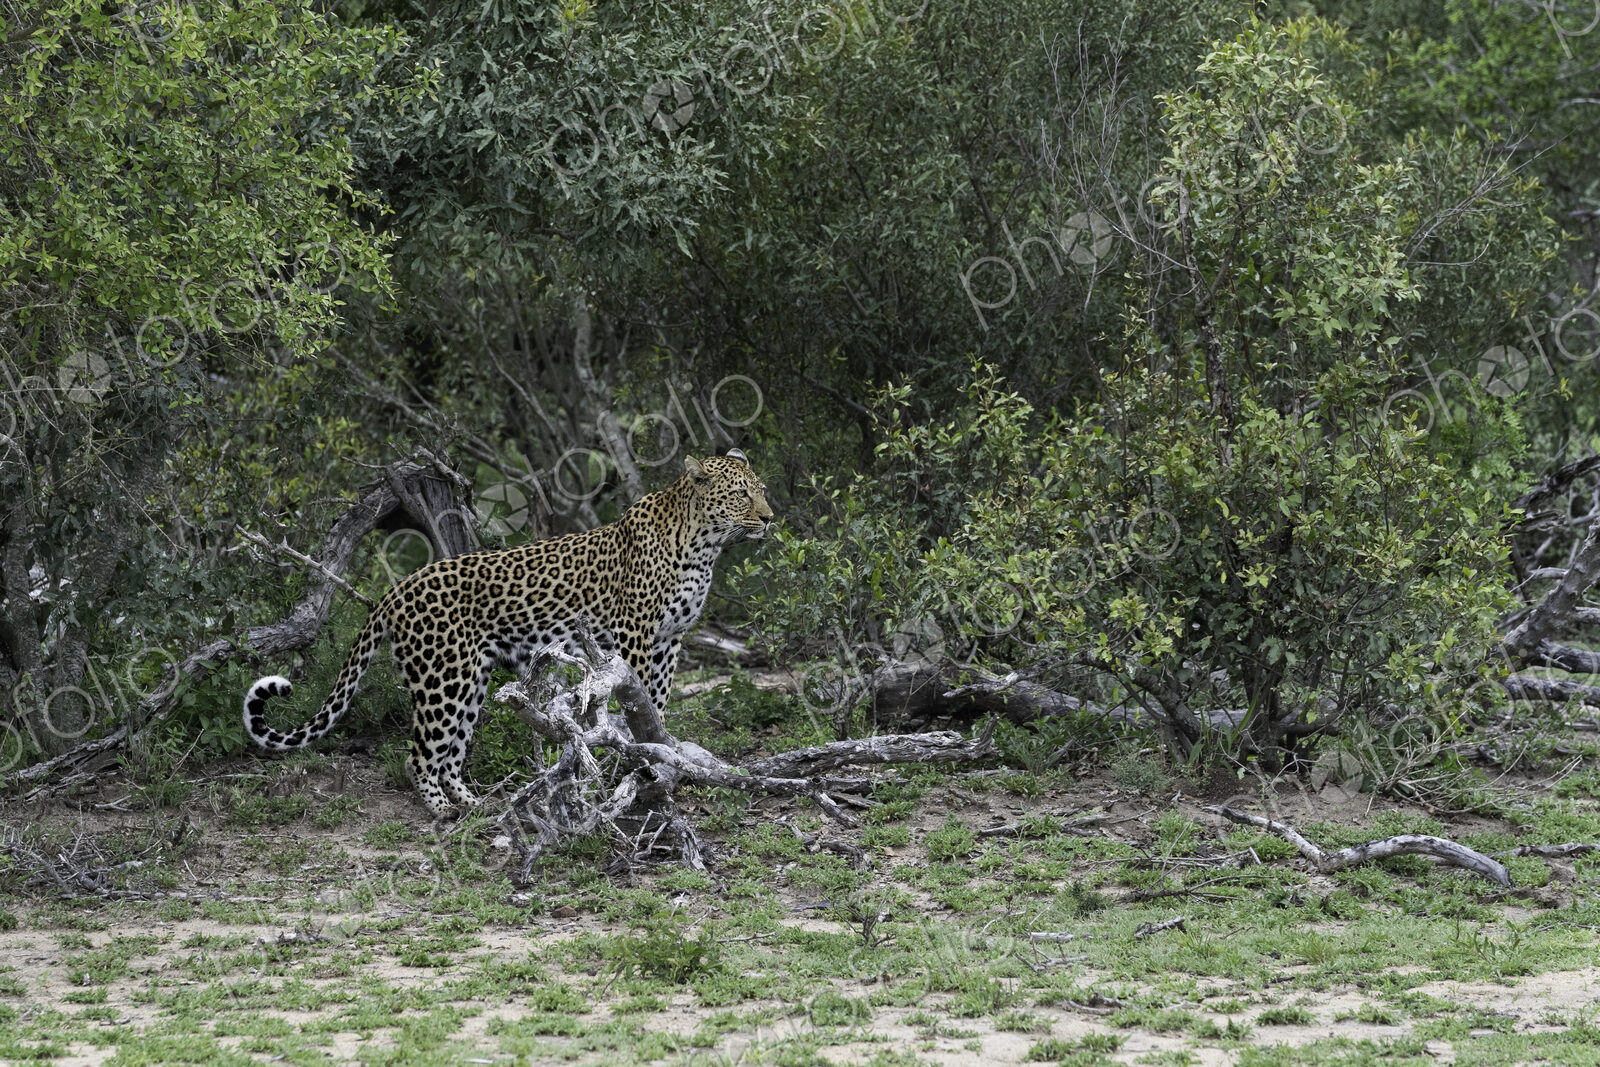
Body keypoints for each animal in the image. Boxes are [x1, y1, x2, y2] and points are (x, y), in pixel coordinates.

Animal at [242, 450, 773, 816]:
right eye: (741, 494)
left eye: (761, 489)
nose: (769, 518)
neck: (703, 546)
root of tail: (395, 591)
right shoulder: (637, 637)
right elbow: (635, 699)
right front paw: (638, 755)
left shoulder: (669, 640)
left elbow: (655, 702)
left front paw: (658, 751)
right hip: (443, 680)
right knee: (419, 755)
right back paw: (444, 811)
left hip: (468, 681)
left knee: (450, 751)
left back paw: (475, 804)